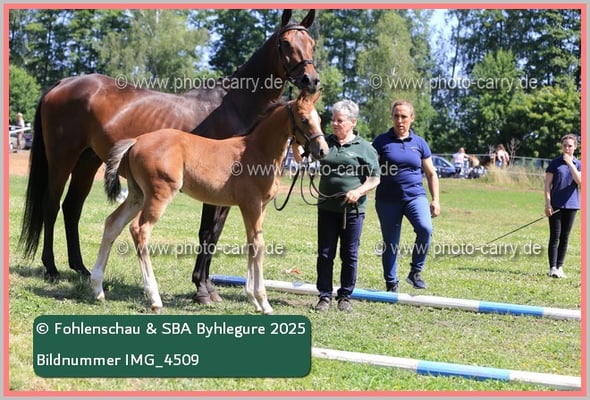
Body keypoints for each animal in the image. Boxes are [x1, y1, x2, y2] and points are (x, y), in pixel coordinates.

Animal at [90, 90, 327, 314]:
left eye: (319, 119)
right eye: (304, 119)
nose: (322, 150)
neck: (258, 150)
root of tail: (137, 141)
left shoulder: (261, 207)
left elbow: (252, 243)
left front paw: (254, 299)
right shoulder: (250, 204)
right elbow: (258, 245)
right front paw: (264, 302)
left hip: (137, 195)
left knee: (112, 223)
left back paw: (97, 288)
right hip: (159, 195)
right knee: (140, 230)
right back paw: (155, 299)